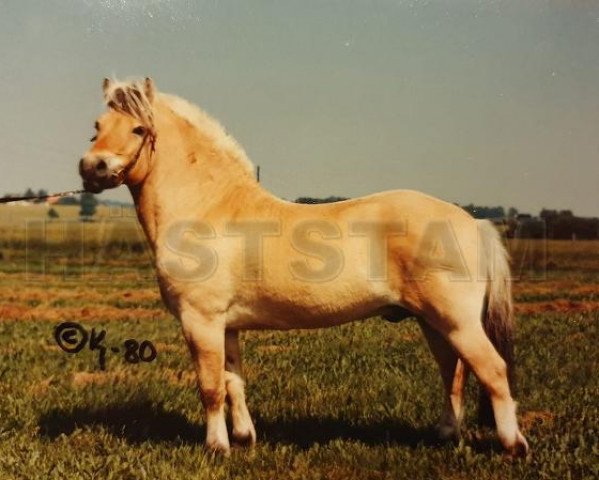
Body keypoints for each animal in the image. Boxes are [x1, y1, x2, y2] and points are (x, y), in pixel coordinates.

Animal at [76, 77, 528, 456]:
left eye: (138, 129)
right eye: (96, 126)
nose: (92, 167)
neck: (209, 207)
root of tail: (473, 221)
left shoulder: (200, 320)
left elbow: (210, 387)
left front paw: (217, 448)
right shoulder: (227, 326)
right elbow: (234, 382)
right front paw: (244, 437)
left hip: (457, 322)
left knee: (492, 370)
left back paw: (513, 445)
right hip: (432, 322)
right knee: (453, 372)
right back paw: (446, 435)